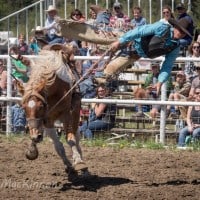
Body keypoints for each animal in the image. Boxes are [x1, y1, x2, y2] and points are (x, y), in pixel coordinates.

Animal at [20, 47, 87, 176]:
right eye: (23, 107)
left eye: (41, 106)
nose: (35, 136)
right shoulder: (47, 120)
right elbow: (58, 146)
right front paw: (68, 166)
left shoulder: (67, 115)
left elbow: (70, 139)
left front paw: (78, 162)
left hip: (76, 112)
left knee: (76, 137)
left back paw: (81, 160)